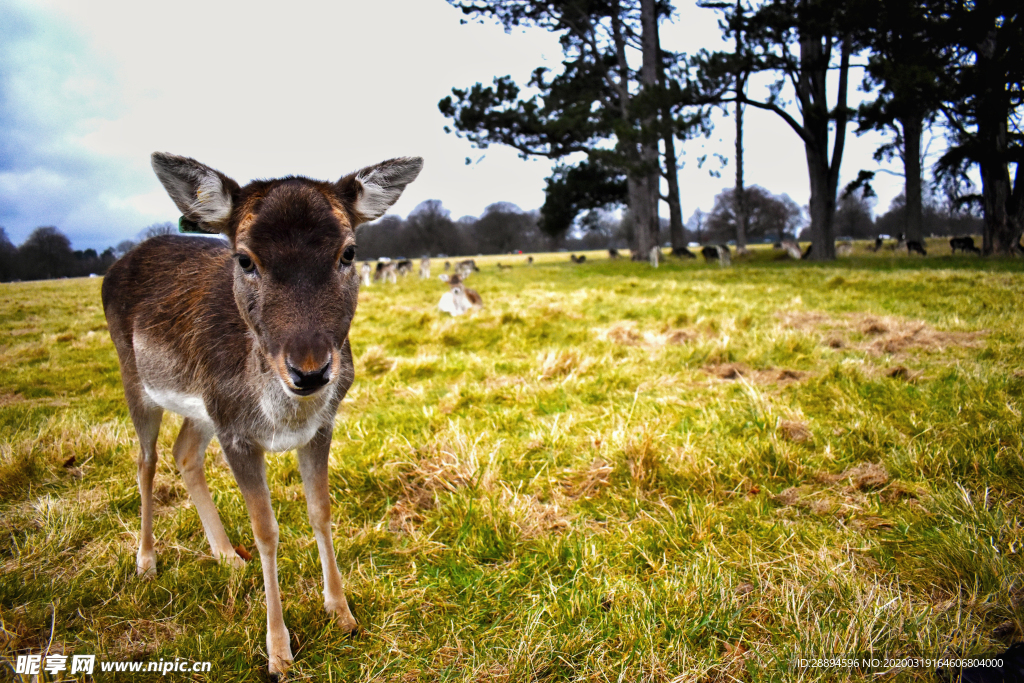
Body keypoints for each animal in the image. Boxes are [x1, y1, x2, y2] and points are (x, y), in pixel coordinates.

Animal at [103, 150, 423, 679]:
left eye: (349, 253)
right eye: (245, 259)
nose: (311, 372)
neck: (283, 416)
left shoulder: (319, 426)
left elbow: (321, 511)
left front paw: (342, 613)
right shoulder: (237, 434)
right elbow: (267, 531)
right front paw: (279, 653)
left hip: (203, 408)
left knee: (184, 453)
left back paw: (226, 556)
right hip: (136, 379)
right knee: (146, 462)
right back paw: (146, 562)